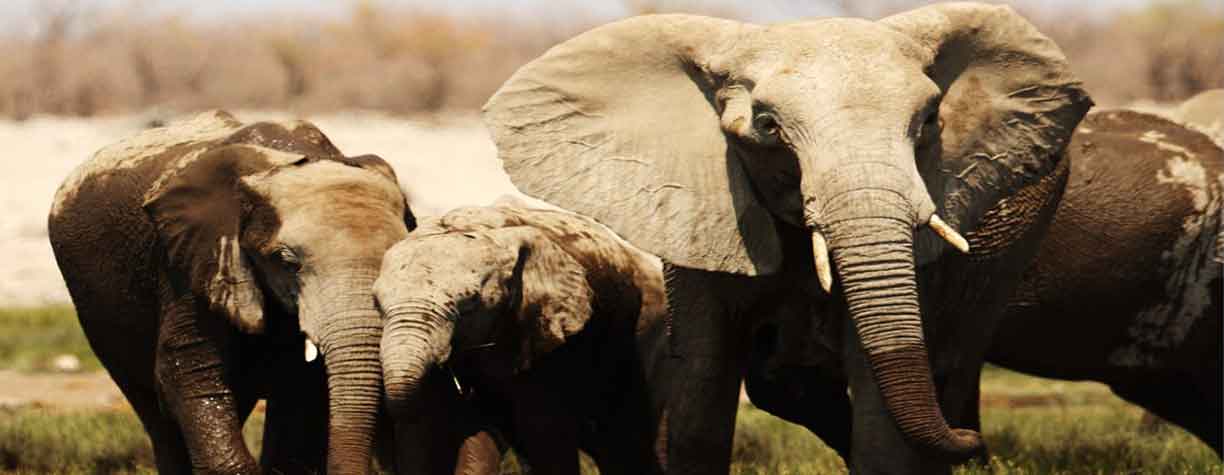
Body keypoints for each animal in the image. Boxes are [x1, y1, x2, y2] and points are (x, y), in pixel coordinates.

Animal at [374, 204, 670, 475]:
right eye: (377, 303)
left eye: (470, 304)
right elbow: (429, 429)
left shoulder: (547, 340)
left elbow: (542, 430)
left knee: (626, 438)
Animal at [477, 3, 1091, 475]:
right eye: (768, 126)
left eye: (930, 123)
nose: (971, 444)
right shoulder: (699, 211)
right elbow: (702, 389)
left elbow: (882, 416)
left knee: (948, 363)